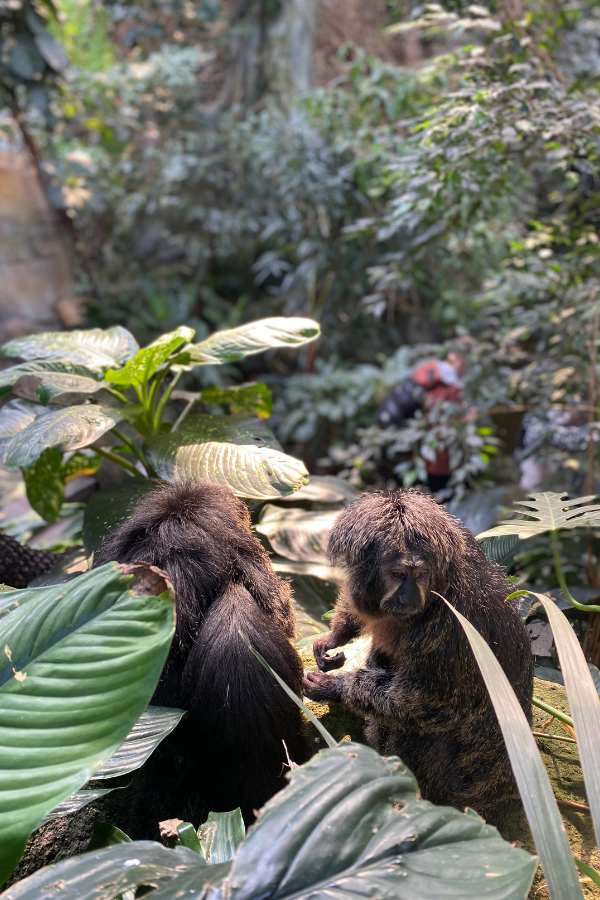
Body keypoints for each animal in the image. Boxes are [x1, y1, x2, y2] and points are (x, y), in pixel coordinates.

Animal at [303, 489, 533, 826]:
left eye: (420, 574)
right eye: (398, 575)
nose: (409, 595)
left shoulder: (448, 629)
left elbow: (430, 704)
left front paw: (334, 688)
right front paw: (334, 636)